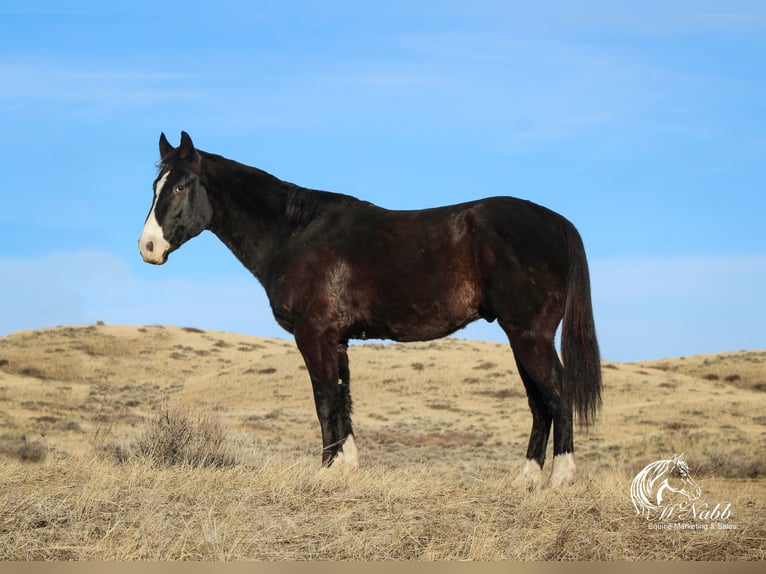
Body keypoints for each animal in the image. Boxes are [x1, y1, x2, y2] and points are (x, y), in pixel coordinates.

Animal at [141, 133, 604, 488]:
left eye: (180, 187)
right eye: (155, 187)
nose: (148, 247)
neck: (295, 235)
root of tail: (559, 223)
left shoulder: (314, 334)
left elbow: (324, 399)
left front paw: (327, 472)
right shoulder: (337, 340)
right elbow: (342, 399)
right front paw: (346, 468)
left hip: (529, 335)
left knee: (557, 394)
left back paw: (561, 478)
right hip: (521, 337)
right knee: (539, 403)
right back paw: (526, 479)